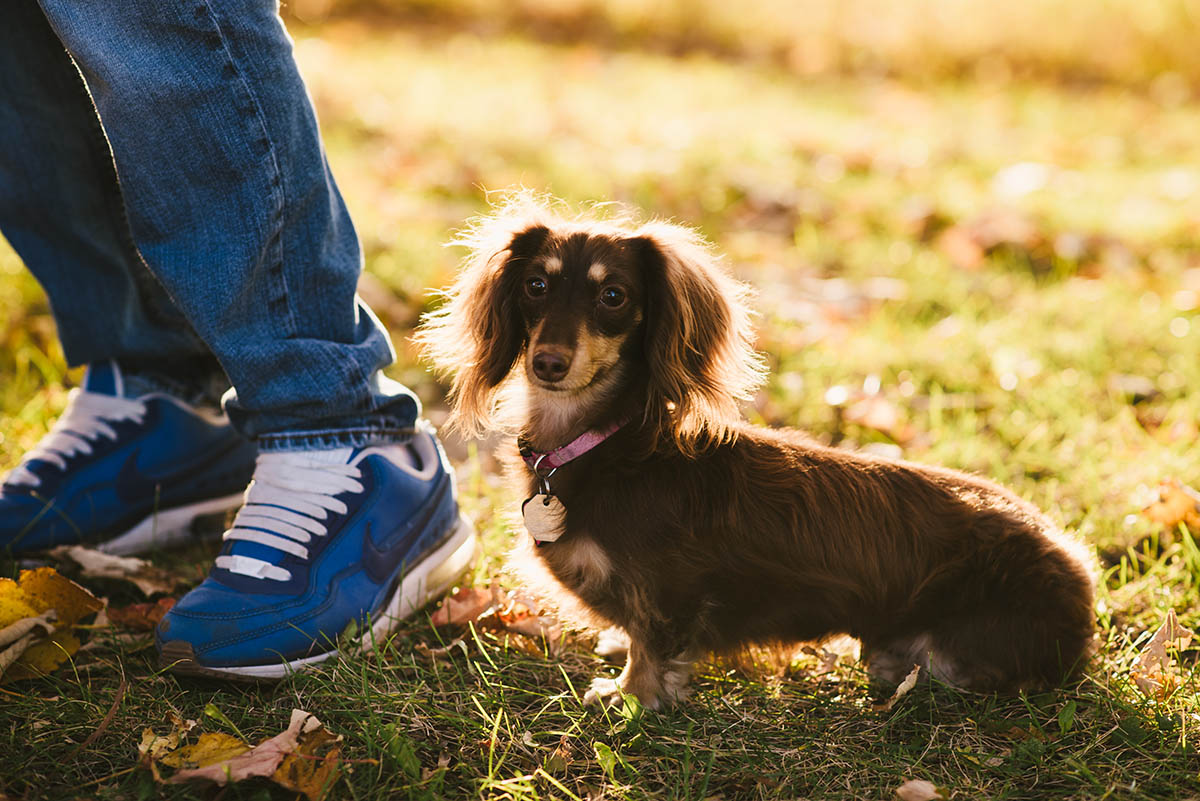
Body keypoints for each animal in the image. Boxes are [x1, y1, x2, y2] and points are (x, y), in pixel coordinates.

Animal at [420, 199, 1099, 705]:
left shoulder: (669, 589)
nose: (549, 363)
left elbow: (653, 643)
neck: (609, 444)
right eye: (535, 285)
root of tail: (1075, 563)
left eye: (613, 296)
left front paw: (631, 694)